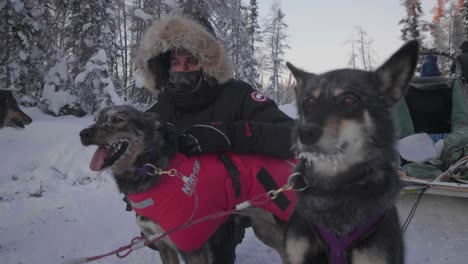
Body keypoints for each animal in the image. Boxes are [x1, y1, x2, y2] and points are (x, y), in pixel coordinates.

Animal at [78, 104, 294, 262]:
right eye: (97, 119)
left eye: (117, 119)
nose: (83, 133)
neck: (153, 169)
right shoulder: (163, 244)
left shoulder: (192, 247)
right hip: (265, 228)